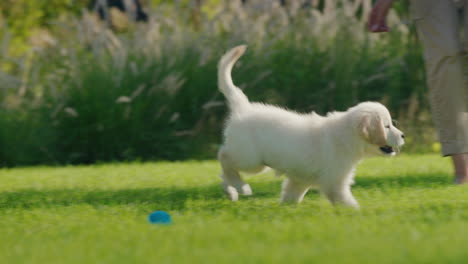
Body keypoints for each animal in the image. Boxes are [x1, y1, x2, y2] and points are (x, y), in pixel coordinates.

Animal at [216, 45, 402, 207]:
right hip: (251, 159)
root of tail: (244, 108)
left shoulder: (300, 180)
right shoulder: (334, 182)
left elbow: (291, 196)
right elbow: (347, 203)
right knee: (224, 157)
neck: (346, 136)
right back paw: (241, 187)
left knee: (224, 172)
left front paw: (285, 209)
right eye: (387, 126)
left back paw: (231, 192)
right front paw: (360, 214)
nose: (403, 135)